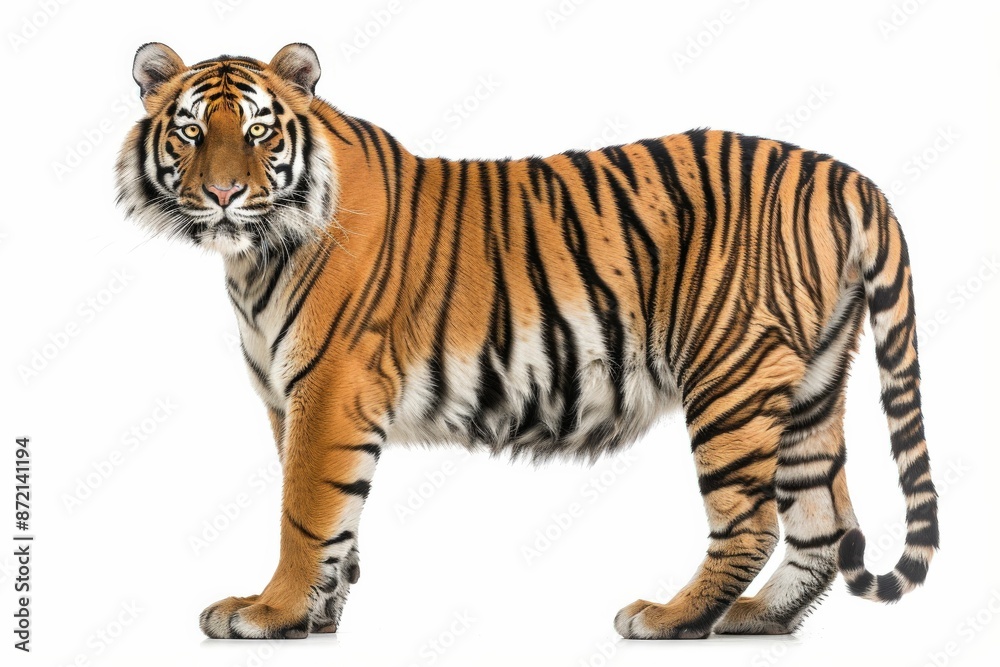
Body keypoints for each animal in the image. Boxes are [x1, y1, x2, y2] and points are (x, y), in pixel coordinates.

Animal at [116, 42, 939, 640]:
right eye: (191, 130)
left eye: (258, 131)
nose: (224, 194)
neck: (252, 258)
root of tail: (847, 176)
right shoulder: (289, 399)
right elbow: (337, 525)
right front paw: (313, 616)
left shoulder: (328, 390)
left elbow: (305, 511)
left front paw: (267, 610)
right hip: (810, 383)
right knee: (823, 522)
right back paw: (758, 618)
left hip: (731, 375)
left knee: (753, 522)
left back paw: (672, 617)